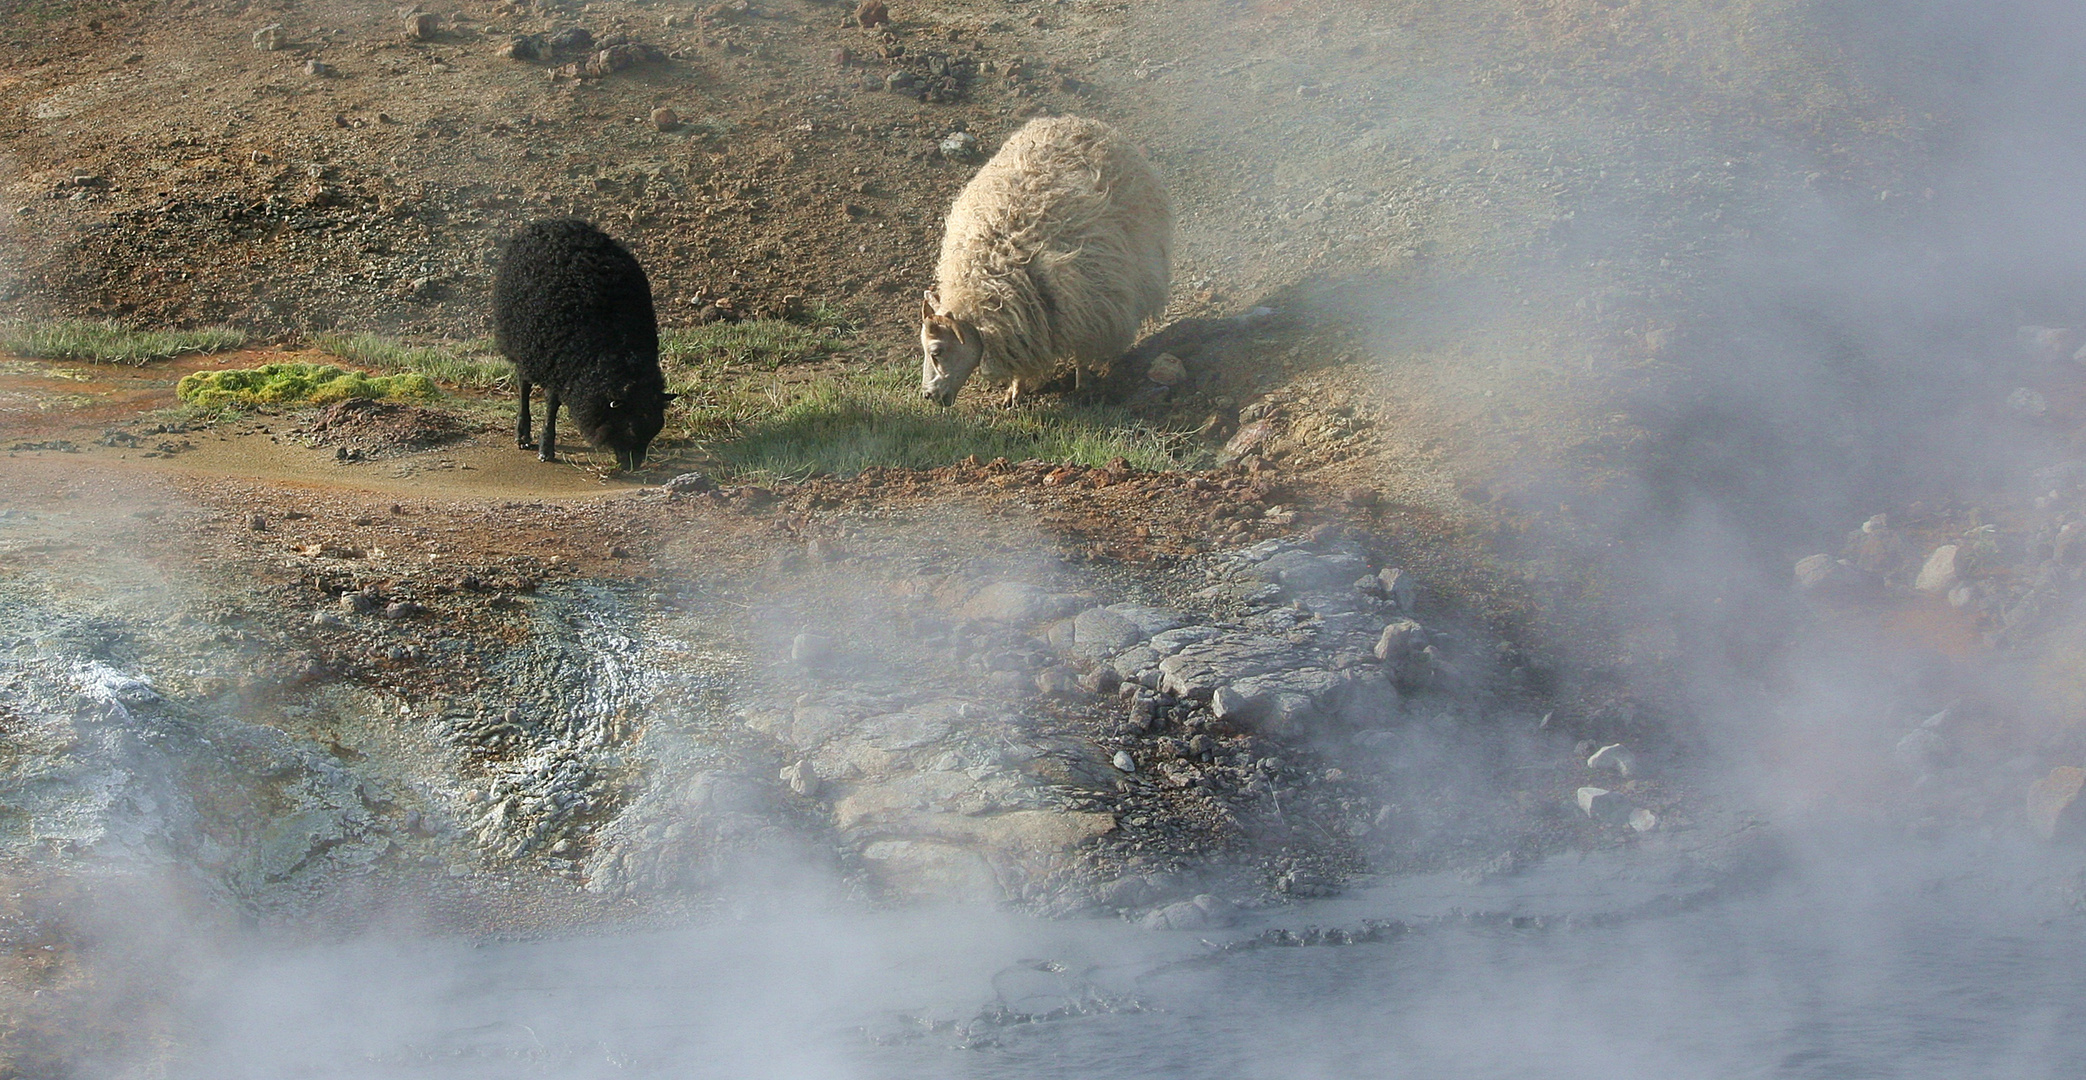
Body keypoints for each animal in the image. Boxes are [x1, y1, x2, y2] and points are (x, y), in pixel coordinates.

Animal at [492, 218, 671, 469]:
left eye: (654, 430)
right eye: (629, 428)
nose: (632, 468)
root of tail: (552, 222)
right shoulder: (556, 363)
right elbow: (551, 405)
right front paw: (546, 448)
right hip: (524, 345)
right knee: (523, 384)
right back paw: (523, 434)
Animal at [917, 116, 1176, 408]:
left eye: (937, 352)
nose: (928, 395)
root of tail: (1076, 120)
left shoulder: (1085, 307)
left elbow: (1082, 352)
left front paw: (1082, 384)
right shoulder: (1023, 324)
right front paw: (1015, 390)